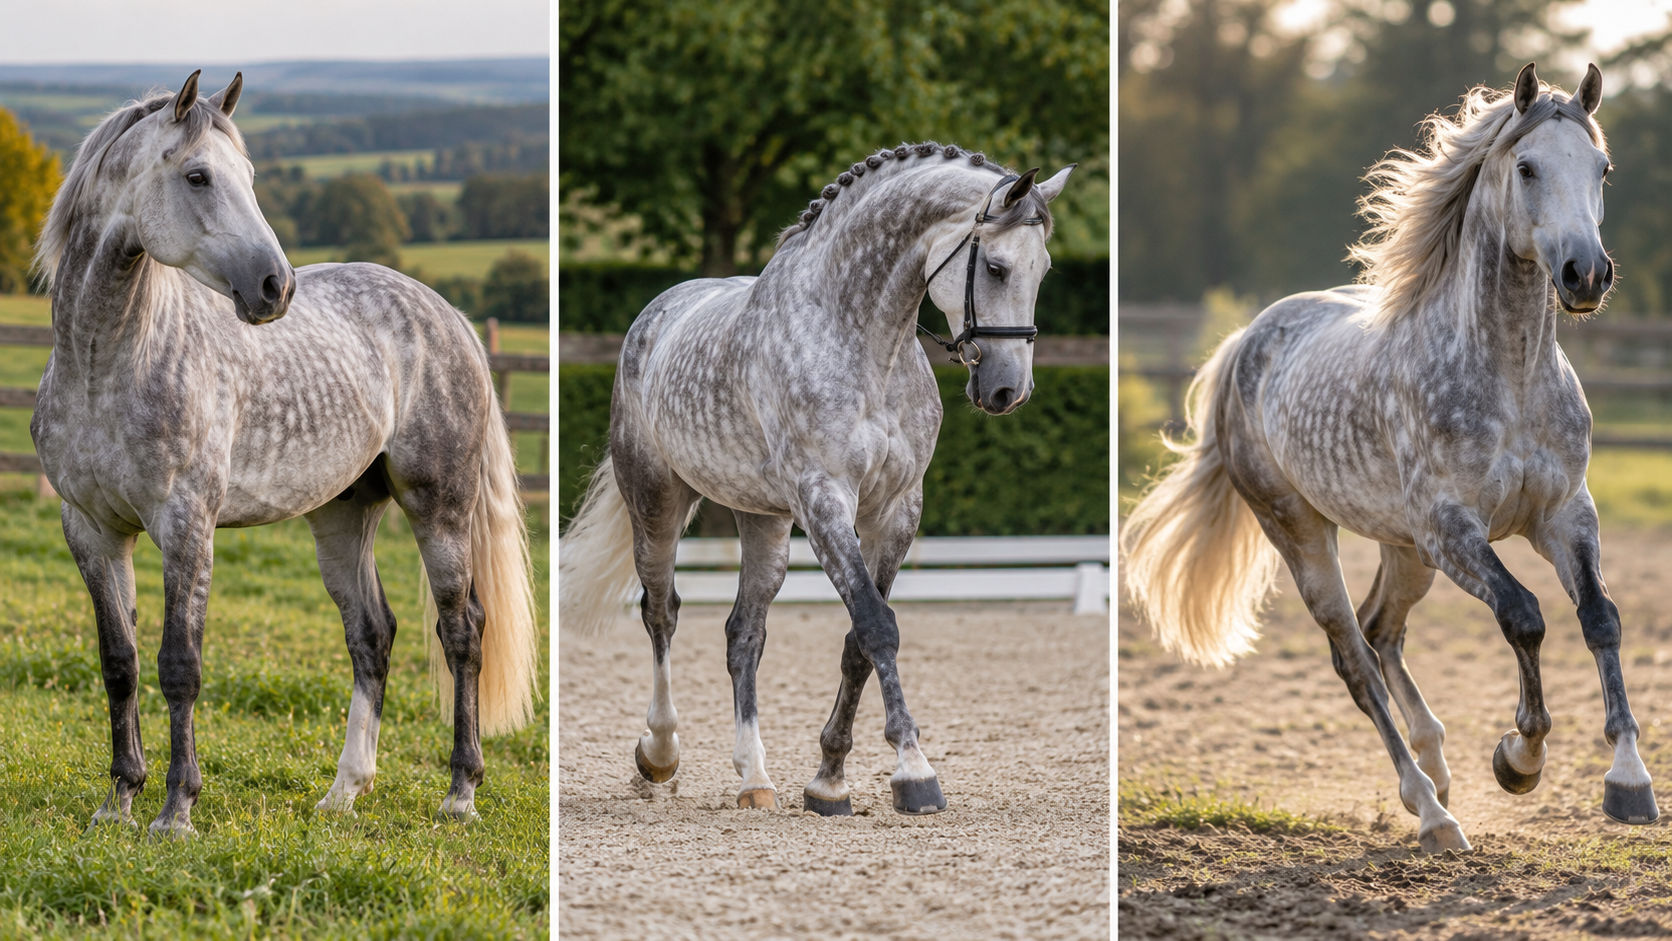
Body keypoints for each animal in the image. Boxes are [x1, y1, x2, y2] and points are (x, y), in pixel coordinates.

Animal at [30, 71, 538, 837]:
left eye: (248, 177)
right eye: (198, 176)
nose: (277, 287)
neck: (108, 363)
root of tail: (448, 315)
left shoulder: (186, 528)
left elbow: (179, 664)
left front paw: (176, 809)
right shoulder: (91, 530)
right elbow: (119, 662)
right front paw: (117, 801)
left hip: (439, 509)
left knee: (463, 631)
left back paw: (459, 792)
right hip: (343, 515)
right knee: (372, 634)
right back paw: (344, 791)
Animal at [559, 142, 1075, 815]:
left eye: (1043, 271)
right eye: (993, 266)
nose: (1008, 391)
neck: (864, 343)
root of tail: (654, 315)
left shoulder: (896, 510)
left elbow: (858, 639)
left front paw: (829, 778)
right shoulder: (824, 497)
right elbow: (877, 626)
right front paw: (914, 771)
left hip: (764, 521)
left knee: (743, 634)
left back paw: (754, 777)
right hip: (656, 501)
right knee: (660, 612)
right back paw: (660, 752)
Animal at [1121, 63, 1655, 853]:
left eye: (1602, 169)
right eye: (1527, 167)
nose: (1585, 274)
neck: (1510, 376)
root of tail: (1248, 341)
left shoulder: (1564, 514)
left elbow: (1601, 618)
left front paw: (1629, 781)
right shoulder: (1453, 528)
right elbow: (1525, 616)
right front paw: (1518, 758)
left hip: (1405, 550)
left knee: (1381, 630)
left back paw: (1436, 767)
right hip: (1306, 535)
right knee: (1355, 656)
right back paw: (1432, 811)